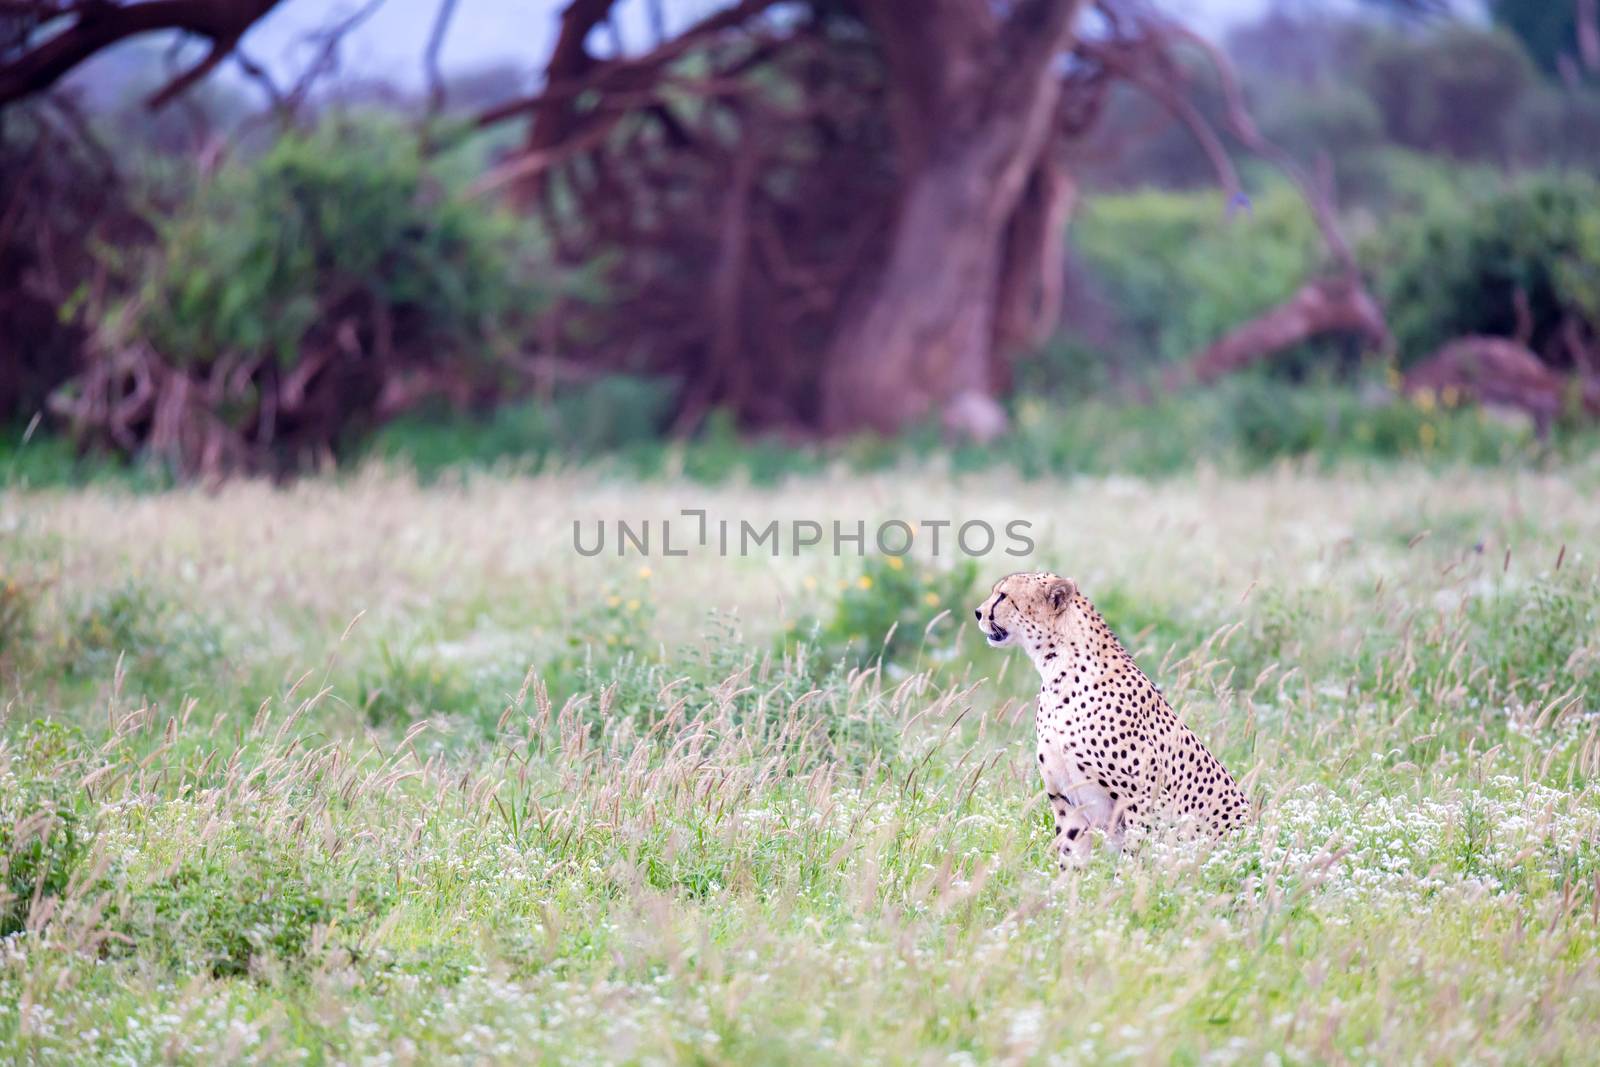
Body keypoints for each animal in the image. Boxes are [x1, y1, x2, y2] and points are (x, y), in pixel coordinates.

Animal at [972, 575, 1248, 870]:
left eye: (1002, 596)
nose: (978, 612)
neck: (1058, 669)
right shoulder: (1066, 799)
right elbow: (1070, 856)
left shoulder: (1142, 795)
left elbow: (1134, 855)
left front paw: (1126, 881)